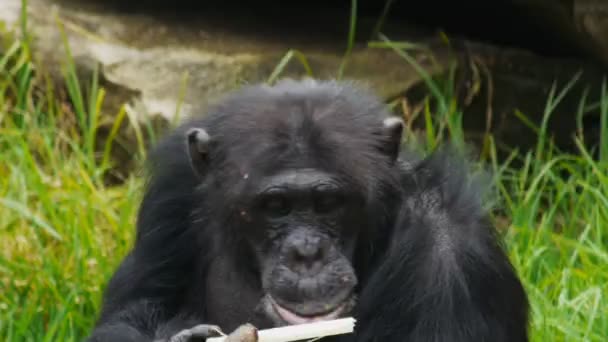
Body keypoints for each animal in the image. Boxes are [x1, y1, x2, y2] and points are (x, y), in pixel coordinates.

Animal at [85, 78, 528, 342]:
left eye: (329, 203)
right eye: (275, 206)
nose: (307, 252)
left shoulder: (451, 259)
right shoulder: (173, 190)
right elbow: (129, 313)